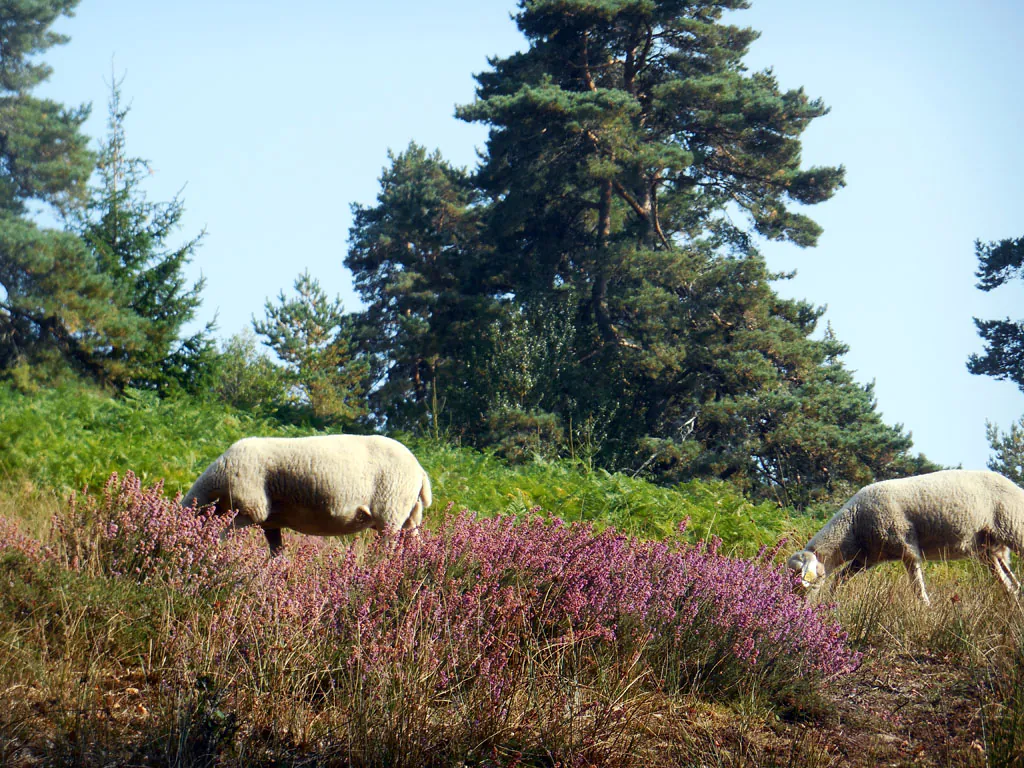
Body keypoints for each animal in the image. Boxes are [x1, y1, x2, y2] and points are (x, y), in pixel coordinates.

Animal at [184, 436, 432, 557]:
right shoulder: (269, 522)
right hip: (409, 516)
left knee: (387, 548)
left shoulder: (250, 509)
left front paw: (212, 553)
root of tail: (420, 470)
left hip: (390, 510)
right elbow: (276, 553)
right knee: (415, 542)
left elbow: (220, 537)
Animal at [786, 468, 1019, 606]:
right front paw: (832, 600)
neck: (853, 525)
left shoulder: (906, 547)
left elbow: (917, 586)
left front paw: (925, 608)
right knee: (1011, 584)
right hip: (990, 547)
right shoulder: (868, 557)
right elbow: (840, 578)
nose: (794, 606)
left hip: (1015, 528)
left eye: (800, 581)